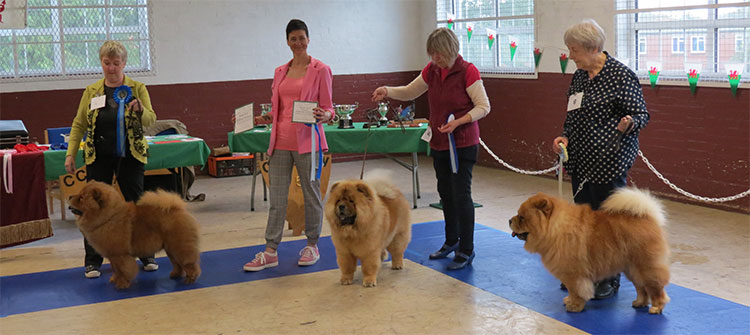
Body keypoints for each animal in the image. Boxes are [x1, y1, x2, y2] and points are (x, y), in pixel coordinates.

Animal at [68, 182, 200, 290]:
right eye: (79, 195)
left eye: (81, 198)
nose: (69, 196)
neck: (108, 218)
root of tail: (177, 208)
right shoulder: (112, 256)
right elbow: (115, 269)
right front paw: (115, 279)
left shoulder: (120, 255)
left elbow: (123, 270)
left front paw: (122, 284)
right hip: (171, 248)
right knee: (177, 263)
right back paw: (175, 275)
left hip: (179, 246)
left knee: (189, 263)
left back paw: (190, 279)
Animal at [508, 188, 672, 314]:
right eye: (518, 214)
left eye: (522, 217)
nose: (510, 220)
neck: (557, 229)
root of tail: (648, 218)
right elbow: (571, 291)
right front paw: (569, 300)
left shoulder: (574, 275)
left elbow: (576, 291)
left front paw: (574, 306)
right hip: (632, 269)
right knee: (641, 288)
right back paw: (639, 302)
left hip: (646, 267)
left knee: (656, 289)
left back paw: (656, 308)